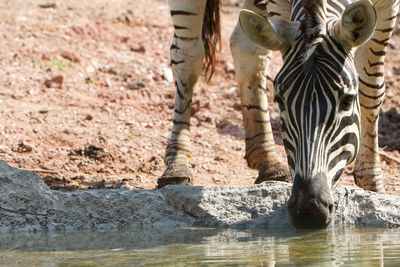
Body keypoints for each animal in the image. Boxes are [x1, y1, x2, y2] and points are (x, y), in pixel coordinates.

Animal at [159, 0, 396, 230]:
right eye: (280, 101)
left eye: (347, 100)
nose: (309, 211)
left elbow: (371, 87)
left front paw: (372, 185)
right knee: (187, 56)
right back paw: (178, 164)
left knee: (246, 49)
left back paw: (267, 162)